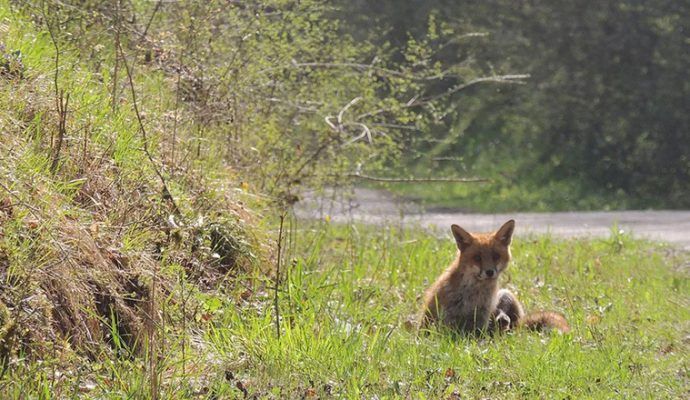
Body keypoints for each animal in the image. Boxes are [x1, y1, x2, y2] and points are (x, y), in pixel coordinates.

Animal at [420, 219, 568, 334]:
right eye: (477, 258)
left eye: (496, 256)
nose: (489, 272)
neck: (475, 294)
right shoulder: (448, 318)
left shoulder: (481, 319)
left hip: (506, 294)